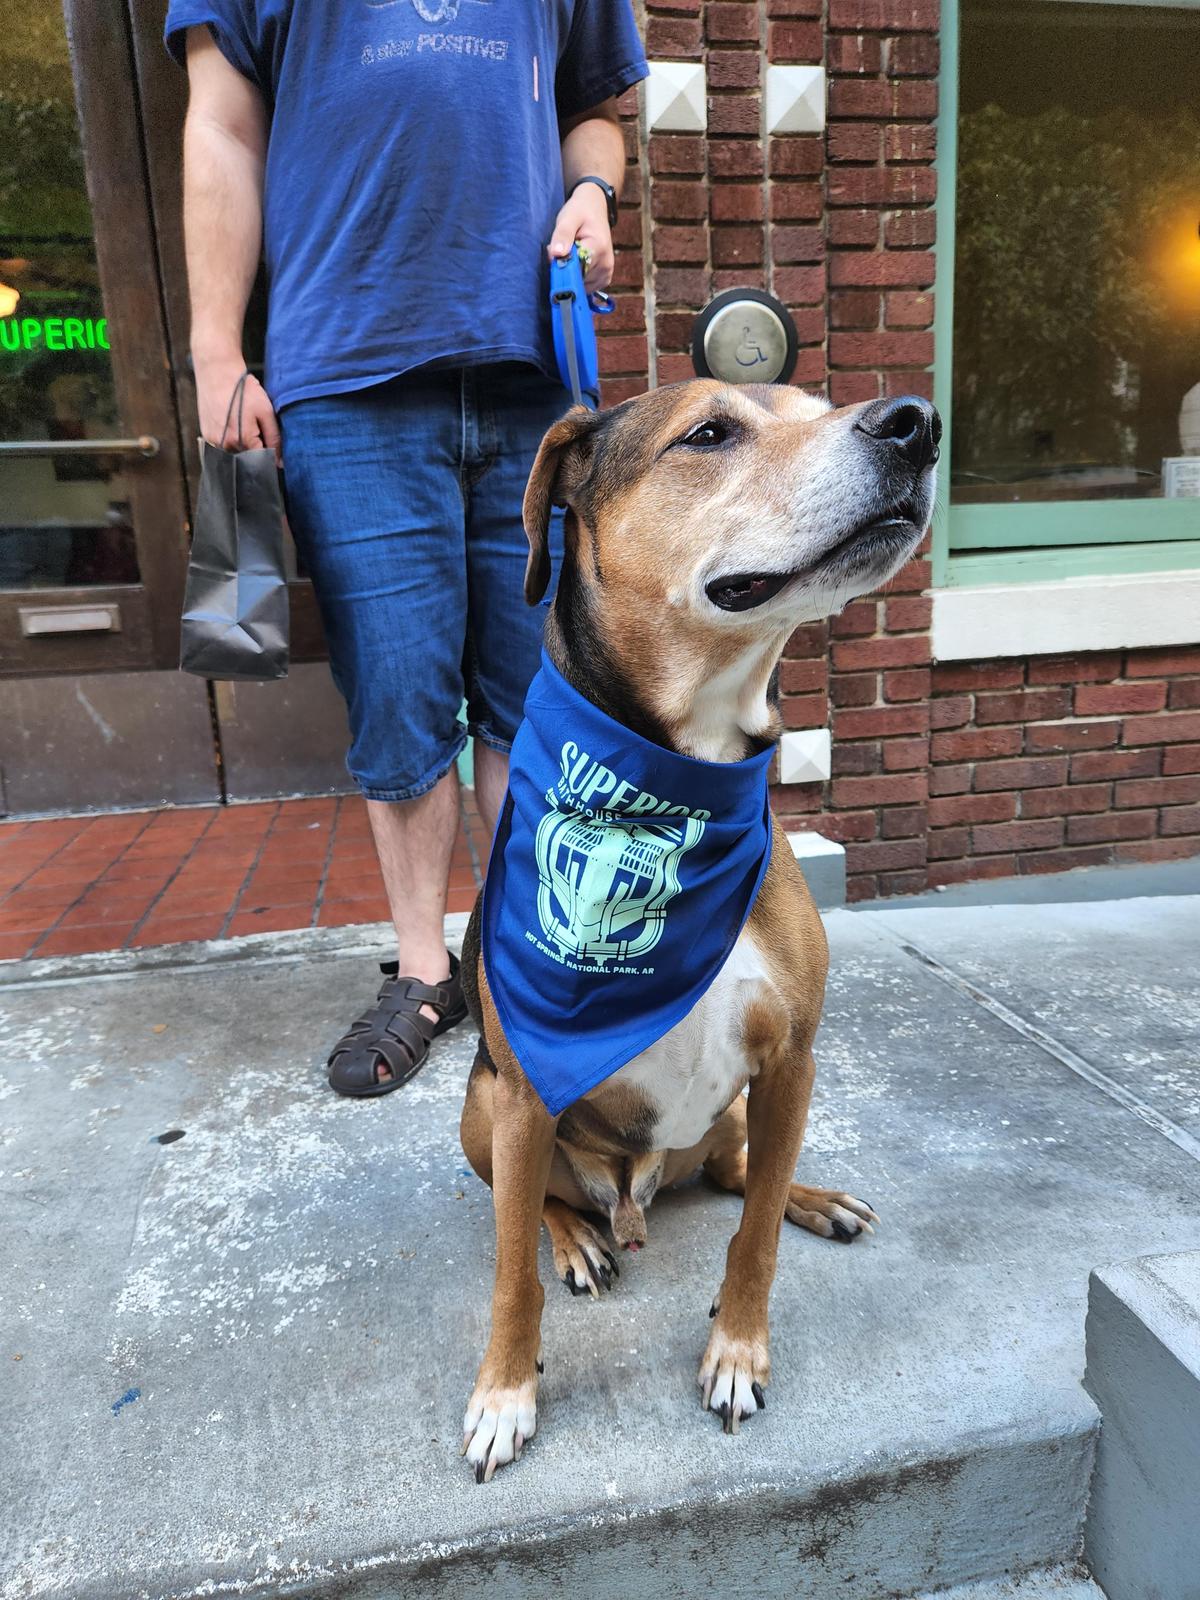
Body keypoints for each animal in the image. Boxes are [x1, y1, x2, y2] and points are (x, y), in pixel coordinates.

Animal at [457, 380, 940, 1478]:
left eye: (815, 404)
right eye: (709, 433)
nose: (915, 423)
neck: (682, 772)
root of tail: (643, 1184)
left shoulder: (793, 1058)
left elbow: (752, 1235)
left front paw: (737, 1351)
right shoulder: (520, 1093)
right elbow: (507, 1272)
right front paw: (504, 1393)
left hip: (733, 1115)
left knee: (740, 1173)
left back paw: (817, 1198)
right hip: (480, 1111)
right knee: (541, 1200)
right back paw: (579, 1236)